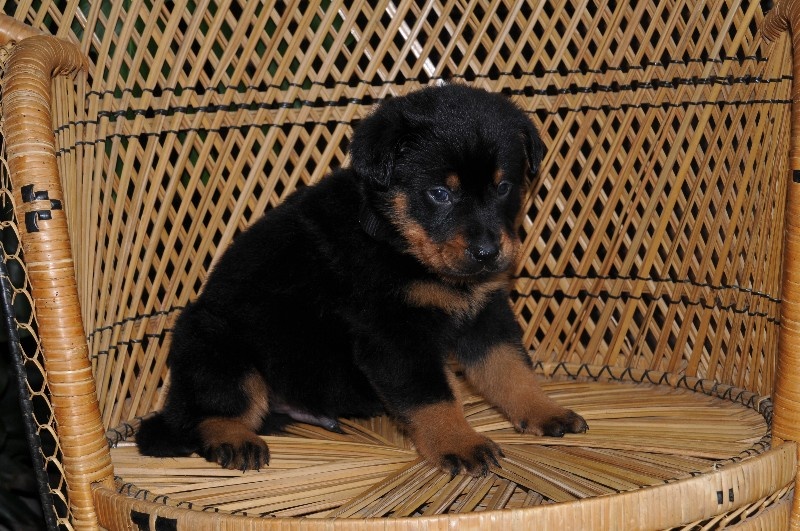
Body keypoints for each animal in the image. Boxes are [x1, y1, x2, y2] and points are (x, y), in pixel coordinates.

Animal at [136, 84, 588, 476]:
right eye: (440, 193)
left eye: (504, 187)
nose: (488, 253)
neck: (396, 242)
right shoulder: (394, 335)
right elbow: (433, 397)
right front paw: (459, 443)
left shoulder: (485, 315)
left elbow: (510, 369)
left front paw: (544, 411)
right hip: (214, 341)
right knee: (199, 416)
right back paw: (234, 440)